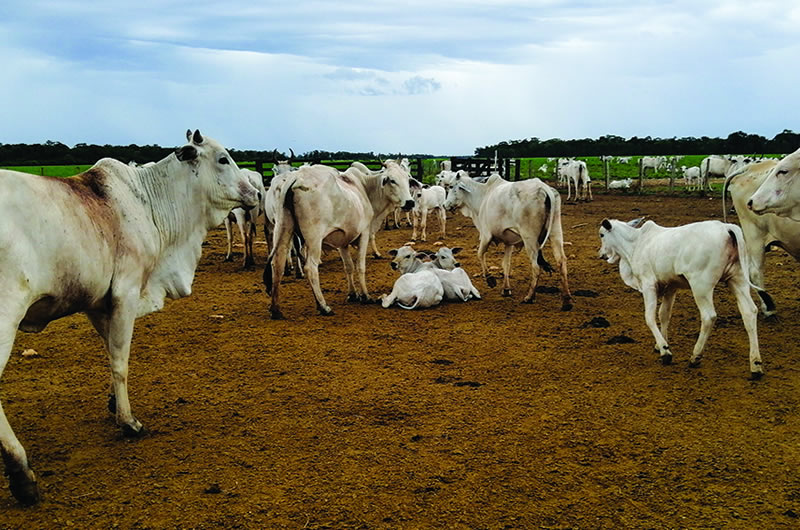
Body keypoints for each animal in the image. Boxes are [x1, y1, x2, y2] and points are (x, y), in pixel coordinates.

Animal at [0, 129, 260, 504]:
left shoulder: (99, 303)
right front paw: (127, 421)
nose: (256, 193)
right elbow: (121, 360)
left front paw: (113, 402)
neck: (148, 202)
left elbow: (110, 351)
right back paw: (21, 474)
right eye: (223, 159)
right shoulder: (126, 291)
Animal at [266, 157, 416, 314]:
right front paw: (365, 295)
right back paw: (323, 306)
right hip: (314, 238)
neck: (365, 188)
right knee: (310, 268)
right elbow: (360, 266)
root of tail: (295, 178)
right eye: (392, 180)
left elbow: (348, 267)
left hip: (282, 228)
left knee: (277, 263)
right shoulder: (364, 233)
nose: (410, 202)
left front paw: (353, 294)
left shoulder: (342, 241)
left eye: (407, 179)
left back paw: (275, 309)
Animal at [600, 217, 768, 378]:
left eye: (601, 234)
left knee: (709, 316)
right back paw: (755, 364)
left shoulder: (648, 284)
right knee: (749, 312)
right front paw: (661, 344)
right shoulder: (670, 286)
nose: (600, 254)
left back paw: (695, 356)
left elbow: (649, 317)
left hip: (701, 285)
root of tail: (727, 228)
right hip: (737, 279)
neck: (636, 243)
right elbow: (663, 314)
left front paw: (665, 351)